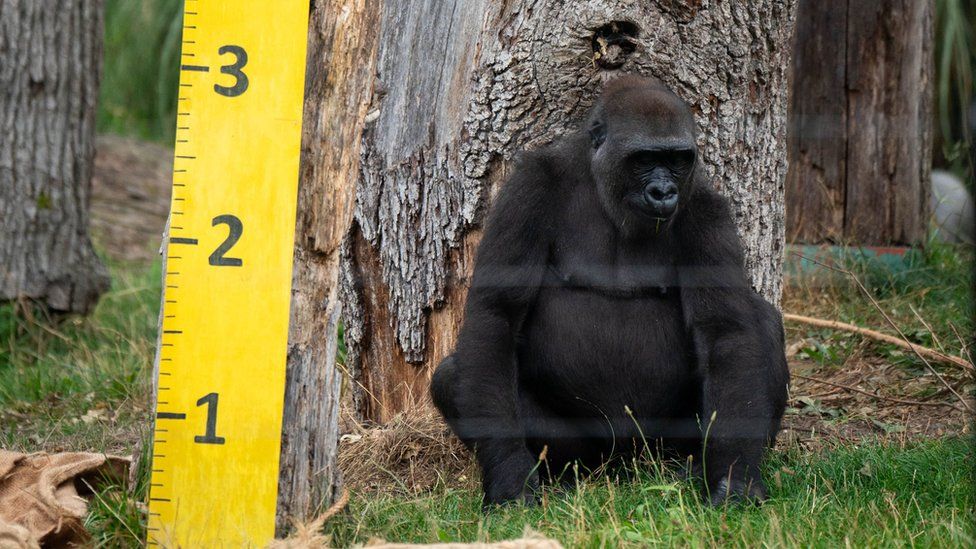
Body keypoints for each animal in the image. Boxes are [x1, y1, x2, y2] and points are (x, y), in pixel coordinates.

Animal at [430, 75, 788, 508]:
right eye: (644, 159)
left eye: (677, 159)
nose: (663, 192)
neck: (600, 180)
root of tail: (626, 464)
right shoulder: (527, 186)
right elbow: (496, 313)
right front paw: (509, 475)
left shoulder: (708, 207)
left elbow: (726, 330)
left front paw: (734, 477)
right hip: (593, 454)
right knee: (452, 376)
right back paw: (559, 476)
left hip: (663, 446)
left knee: (763, 323)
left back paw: (693, 467)